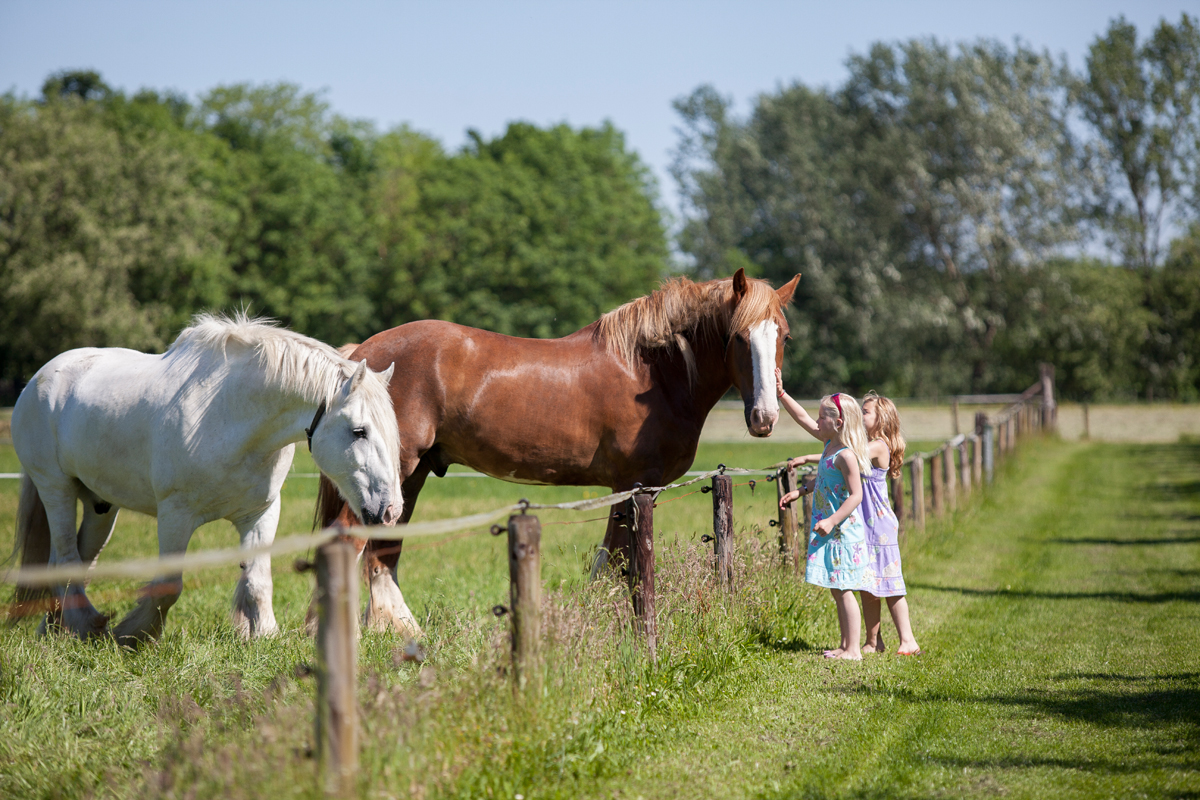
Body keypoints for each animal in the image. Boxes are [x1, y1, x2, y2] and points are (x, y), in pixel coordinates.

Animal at [10, 316, 403, 647]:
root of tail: (38, 380)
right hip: (56, 490)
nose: (390, 511)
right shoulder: (175, 515)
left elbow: (258, 580)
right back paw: (84, 625)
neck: (230, 415)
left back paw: (57, 629)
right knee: (65, 559)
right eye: (359, 431)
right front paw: (134, 634)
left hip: (100, 506)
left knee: (76, 561)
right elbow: (169, 585)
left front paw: (264, 635)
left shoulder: (261, 514)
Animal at [314, 268, 796, 638]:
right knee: (354, 540)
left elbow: (615, 559)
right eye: (737, 337)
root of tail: (361, 355)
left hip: (406, 478)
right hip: (397, 471)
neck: (651, 374)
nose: (765, 416)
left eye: (784, 337)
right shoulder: (631, 484)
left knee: (383, 550)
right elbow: (615, 559)